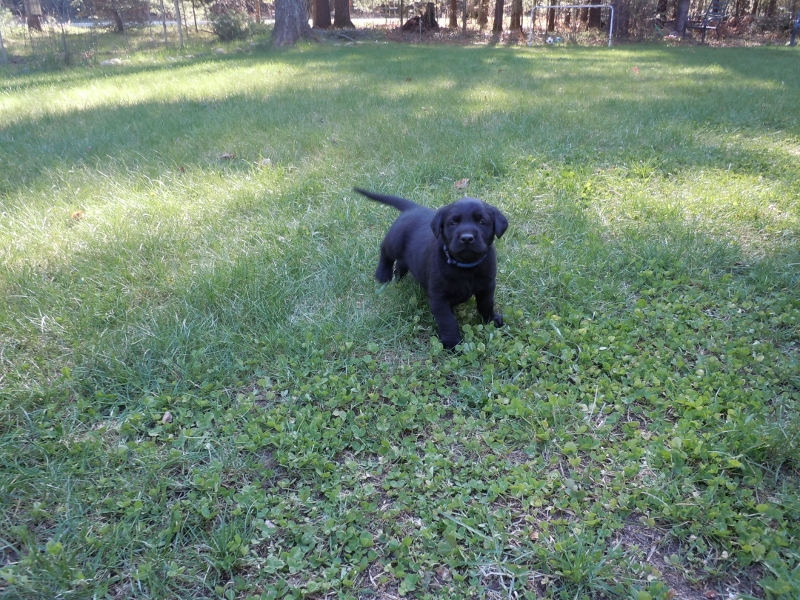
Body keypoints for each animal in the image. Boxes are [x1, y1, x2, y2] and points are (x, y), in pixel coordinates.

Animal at [354, 186, 506, 346]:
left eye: (481, 221)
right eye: (453, 223)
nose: (466, 238)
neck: (466, 266)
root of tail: (414, 208)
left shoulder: (487, 286)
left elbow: (486, 304)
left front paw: (492, 319)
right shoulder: (439, 297)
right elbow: (447, 321)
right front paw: (452, 342)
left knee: (403, 262)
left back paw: (399, 276)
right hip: (395, 242)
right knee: (385, 251)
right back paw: (383, 274)